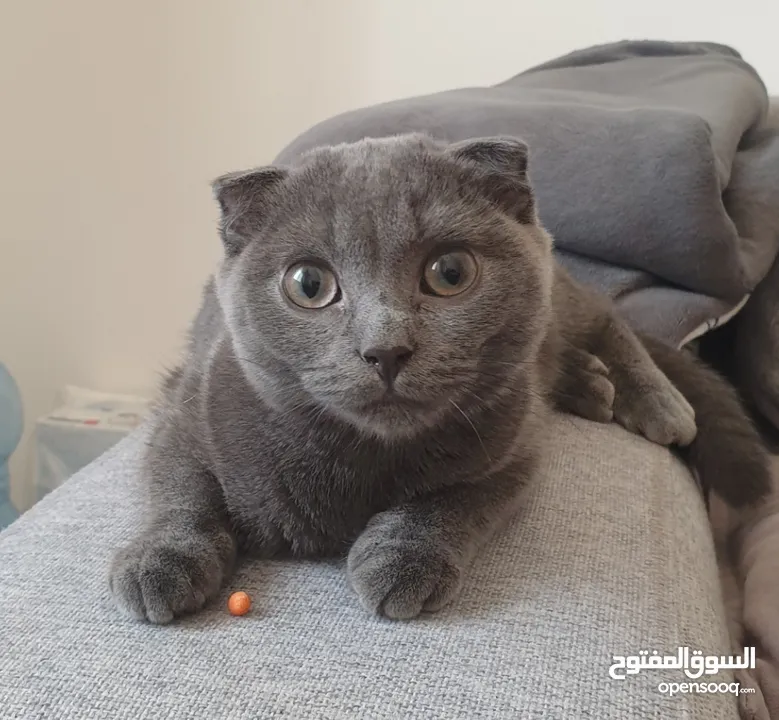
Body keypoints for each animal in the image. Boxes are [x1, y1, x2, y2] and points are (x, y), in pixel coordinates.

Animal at [111, 135, 772, 624]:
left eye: (449, 272)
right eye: (308, 284)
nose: (385, 349)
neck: (356, 459)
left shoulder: (513, 450)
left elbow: (454, 500)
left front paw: (403, 559)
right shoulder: (185, 411)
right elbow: (178, 487)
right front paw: (159, 559)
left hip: (563, 302)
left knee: (610, 319)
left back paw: (659, 404)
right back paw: (590, 386)